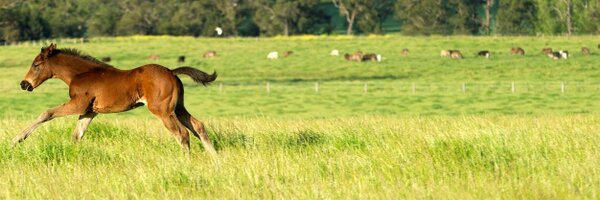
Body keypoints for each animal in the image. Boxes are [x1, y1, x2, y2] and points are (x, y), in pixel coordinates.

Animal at [13, 43, 218, 155]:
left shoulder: (78, 104)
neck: (81, 74)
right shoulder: (89, 111)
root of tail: (172, 72)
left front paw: (17, 139)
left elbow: (46, 113)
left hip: (163, 111)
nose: (24, 84)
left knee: (182, 134)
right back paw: (215, 159)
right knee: (198, 126)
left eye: (36, 64)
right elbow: (77, 135)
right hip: (178, 108)